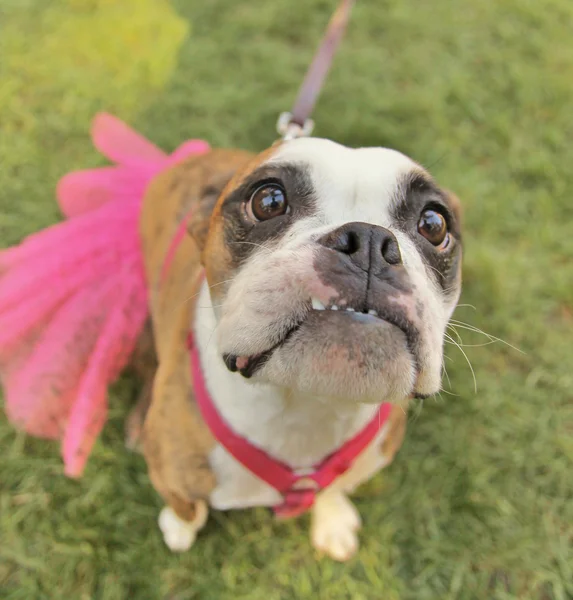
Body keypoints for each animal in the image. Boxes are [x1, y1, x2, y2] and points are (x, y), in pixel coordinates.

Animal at [133, 138, 460, 560]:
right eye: (269, 200)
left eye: (434, 224)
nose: (368, 240)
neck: (309, 401)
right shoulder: (169, 471)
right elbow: (183, 503)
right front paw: (180, 526)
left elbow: (335, 487)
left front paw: (332, 518)